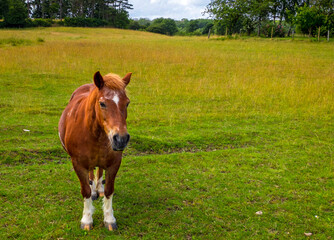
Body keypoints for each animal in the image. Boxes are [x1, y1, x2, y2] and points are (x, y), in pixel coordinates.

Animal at [58, 71, 131, 231]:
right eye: (102, 103)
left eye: (127, 103)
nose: (121, 139)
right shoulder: (78, 164)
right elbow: (85, 190)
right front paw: (86, 219)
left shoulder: (114, 162)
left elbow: (109, 190)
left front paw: (109, 219)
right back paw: (93, 191)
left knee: (99, 171)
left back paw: (99, 189)